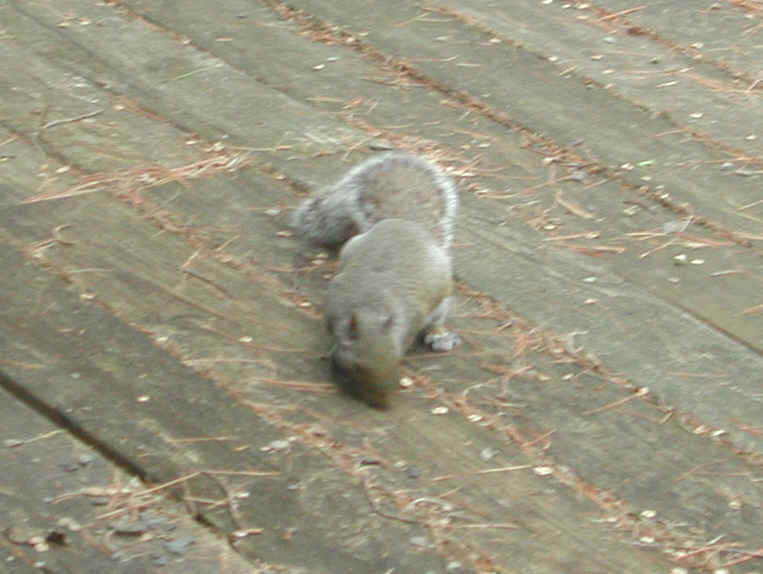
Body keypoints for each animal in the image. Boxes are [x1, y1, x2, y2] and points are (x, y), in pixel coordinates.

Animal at [324, 218, 460, 409]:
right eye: (356, 367)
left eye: (398, 360)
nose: (383, 404)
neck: (370, 310)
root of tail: (403, 223)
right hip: (350, 247)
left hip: (442, 298)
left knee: (436, 321)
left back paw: (439, 334)